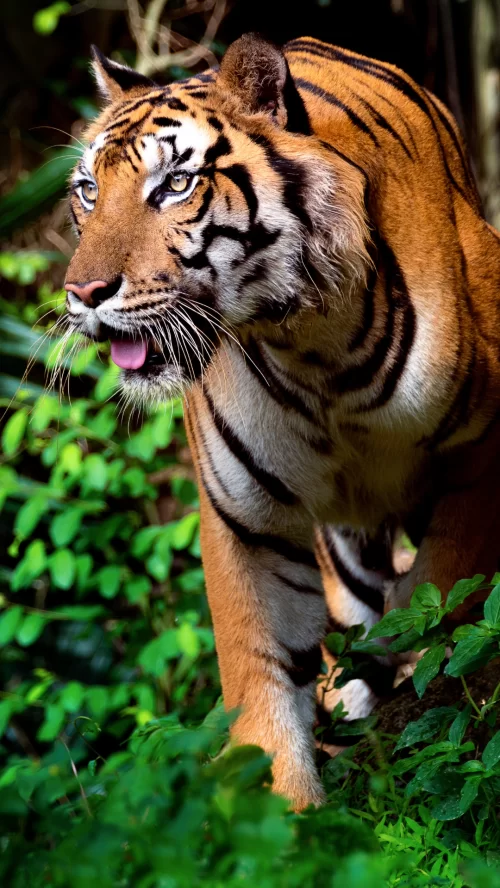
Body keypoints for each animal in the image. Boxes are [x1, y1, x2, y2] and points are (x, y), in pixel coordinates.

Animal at [62, 33, 500, 810]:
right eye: (88, 190)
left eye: (175, 185)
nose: (82, 292)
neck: (313, 344)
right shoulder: (248, 518)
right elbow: (259, 672)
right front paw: (289, 816)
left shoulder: (484, 455)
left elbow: (439, 585)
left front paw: (401, 653)